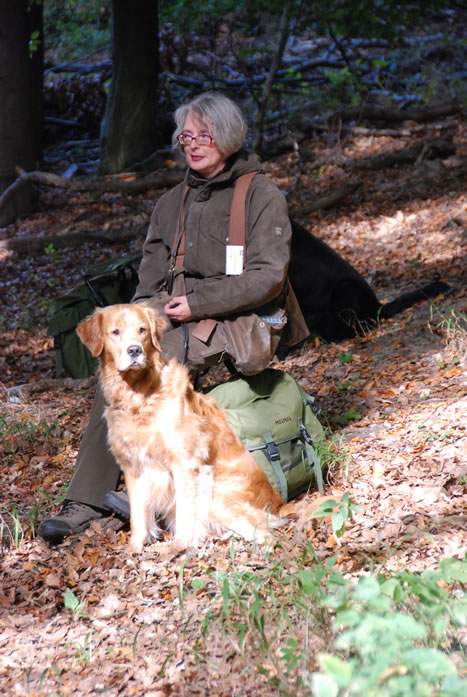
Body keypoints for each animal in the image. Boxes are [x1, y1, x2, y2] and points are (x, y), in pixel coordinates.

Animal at [77, 303, 284, 553]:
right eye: (115, 332)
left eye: (142, 330)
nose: (134, 350)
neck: (140, 397)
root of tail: (278, 501)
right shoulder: (132, 467)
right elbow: (138, 515)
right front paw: (135, 547)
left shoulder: (185, 463)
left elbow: (186, 512)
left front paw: (178, 547)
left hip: (216, 495)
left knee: (266, 534)